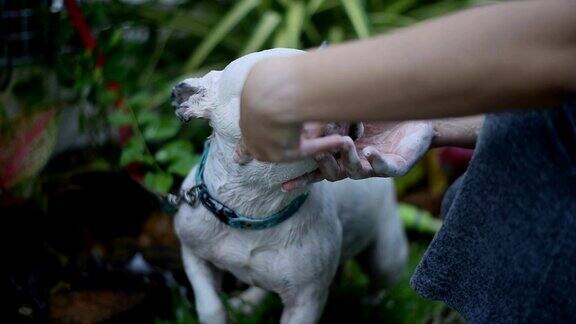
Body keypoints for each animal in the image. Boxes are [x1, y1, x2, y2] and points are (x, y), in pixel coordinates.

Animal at [173, 48, 408, 324]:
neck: (255, 203)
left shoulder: (306, 299)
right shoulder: (193, 255)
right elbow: (210, 305)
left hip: (386, 256)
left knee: (381, 280)